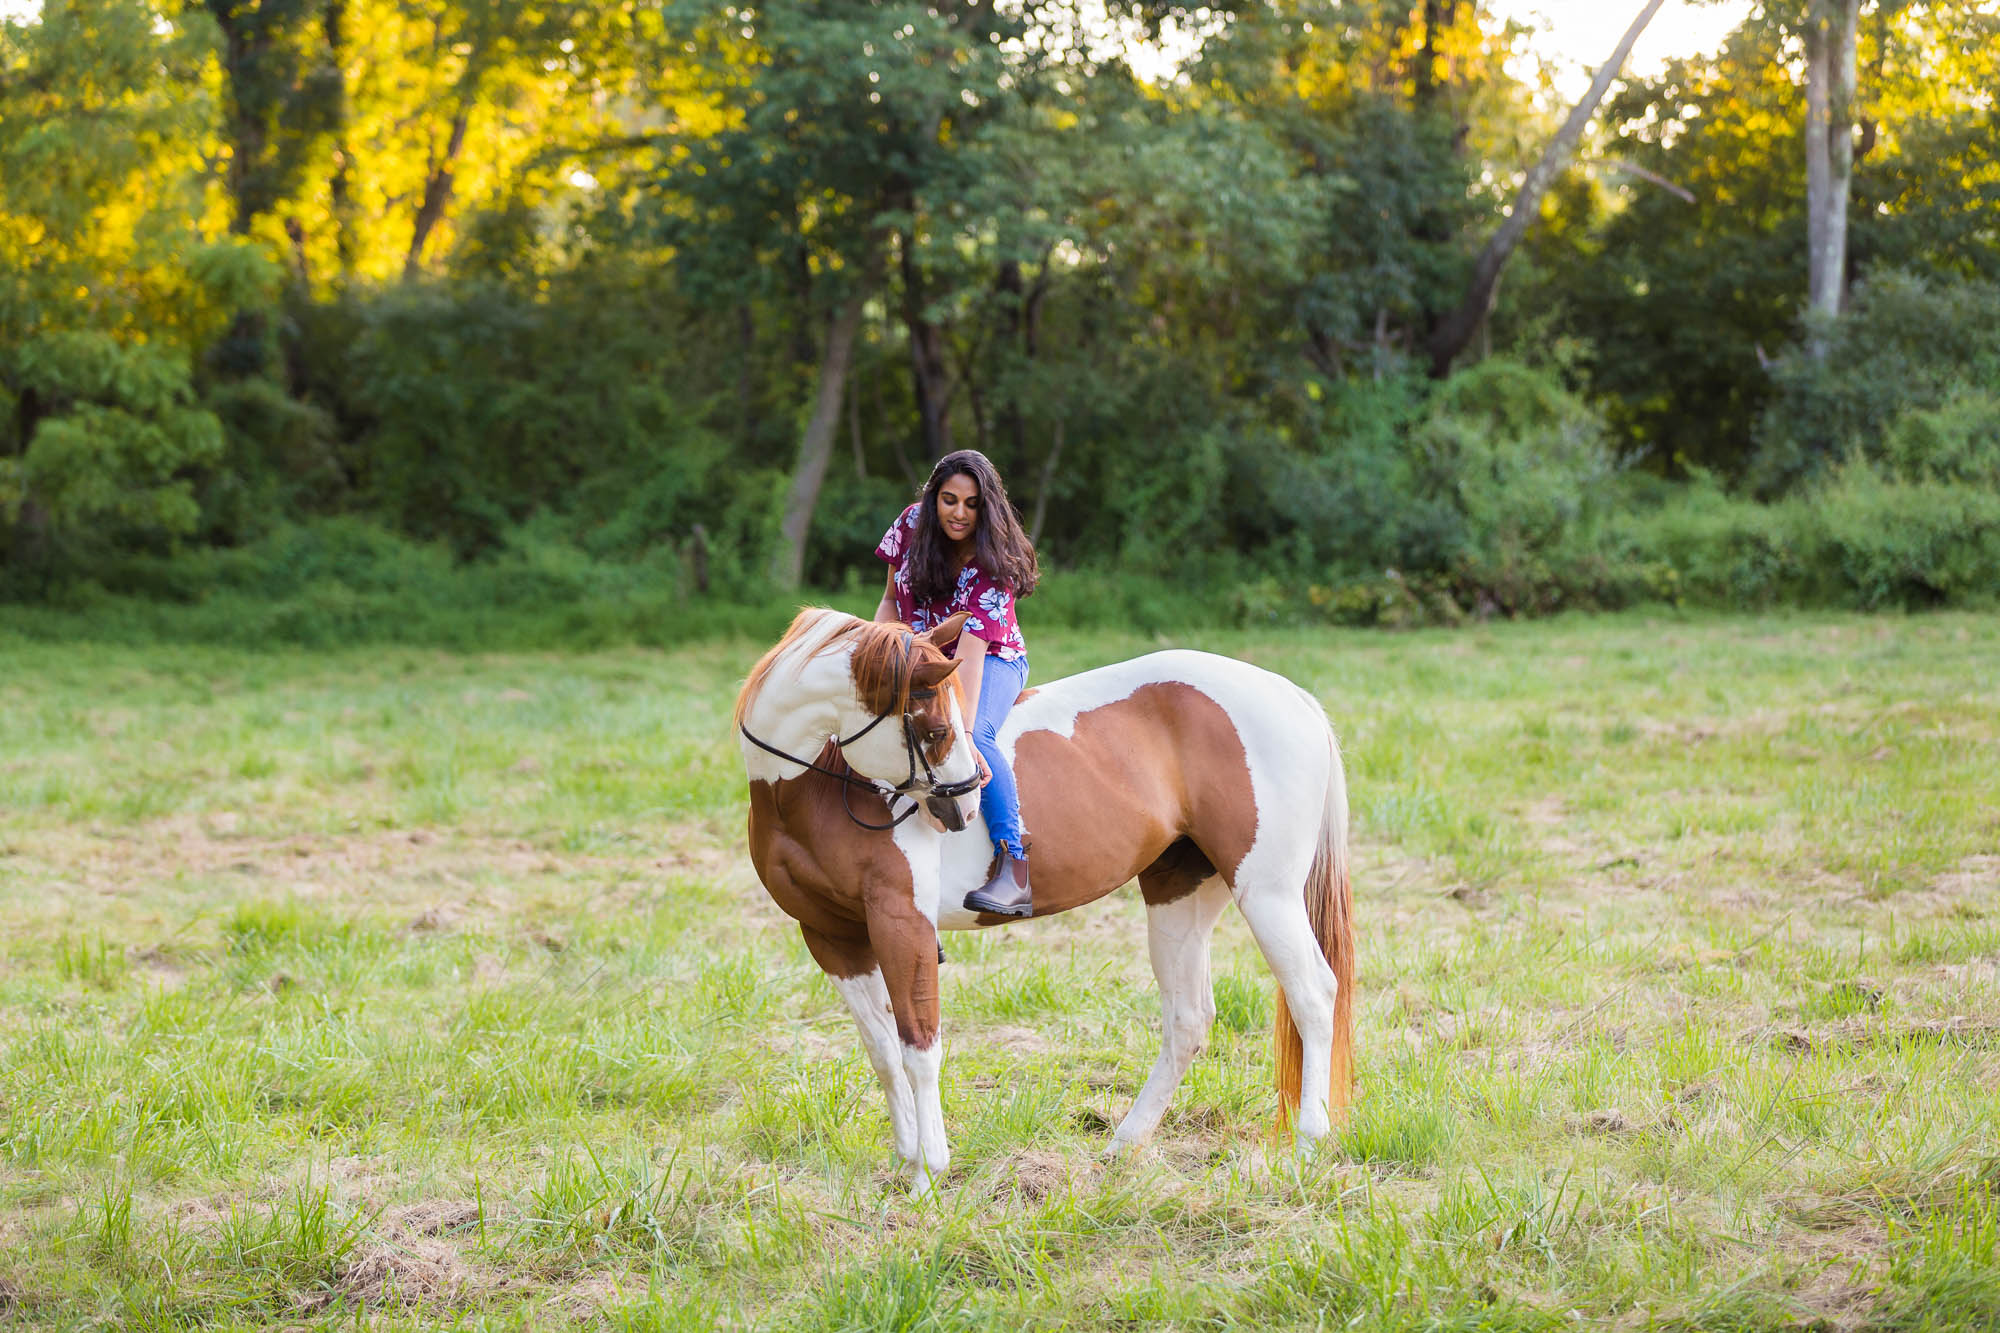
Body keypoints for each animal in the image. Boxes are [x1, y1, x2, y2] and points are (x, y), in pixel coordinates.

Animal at [734, 607, 1354, 1193]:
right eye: (934, 730)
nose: (964, 807)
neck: (806, 790)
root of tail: (1289, 694)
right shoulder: (832, 936)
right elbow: (883, 1051)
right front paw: (906, 1160)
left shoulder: (901, 923)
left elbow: (919, 1047)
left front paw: (928, 1175)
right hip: (1180, 894)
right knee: (1189, 1019)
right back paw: (1125, 1144)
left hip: (1268, 894)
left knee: (1313, 995)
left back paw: (1308, 1145)